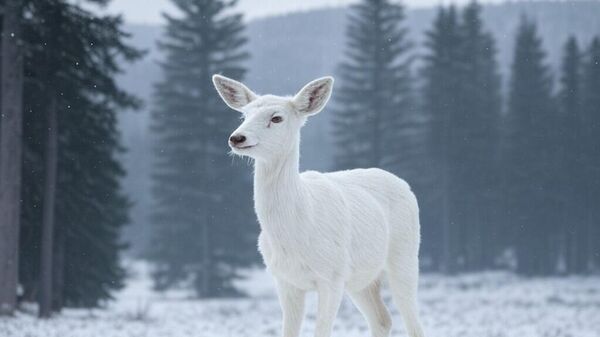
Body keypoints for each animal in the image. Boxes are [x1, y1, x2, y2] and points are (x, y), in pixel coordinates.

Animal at [213, 75, 424, 336]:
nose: (237, 138)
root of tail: (405, 185)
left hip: (404, 257)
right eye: (244, 115)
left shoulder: (332, 276)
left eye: (276, 118)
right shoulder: (285, 280)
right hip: (360, 279)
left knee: (413, 323)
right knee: (382, 319)